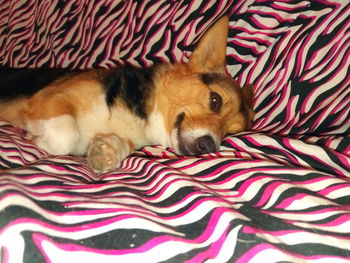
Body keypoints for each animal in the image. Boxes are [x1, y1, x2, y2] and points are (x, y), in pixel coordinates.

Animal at [0, 16, 253, 177]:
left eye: (230, 133)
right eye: (215, 100)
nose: (208, 146)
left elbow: (121, 146)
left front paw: (105, 151)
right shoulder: (53, 96)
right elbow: (66, 136)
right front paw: (39, 141)